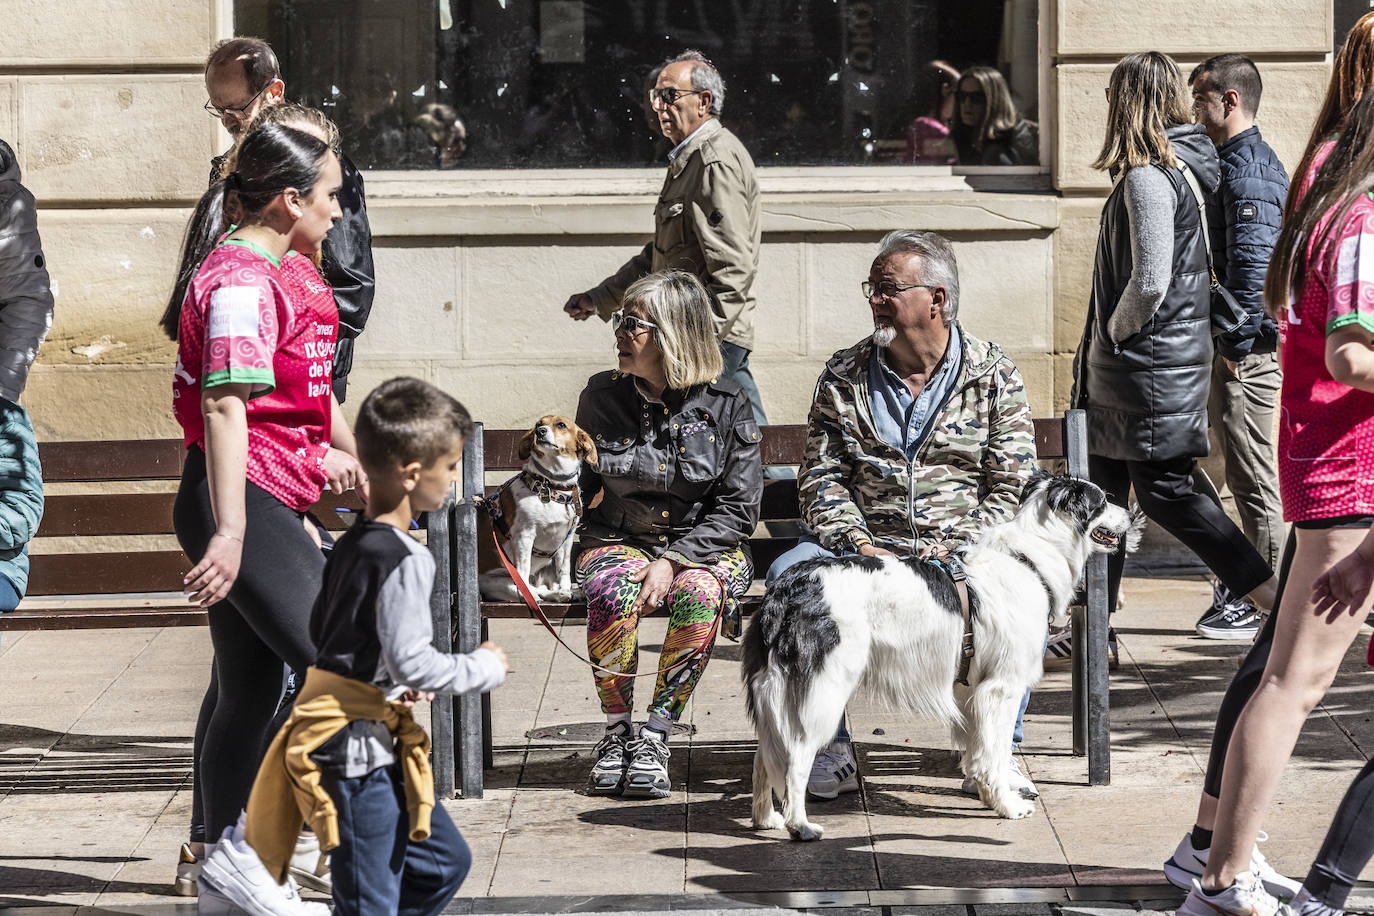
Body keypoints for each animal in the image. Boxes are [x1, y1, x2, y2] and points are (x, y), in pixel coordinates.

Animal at [478, 417, 596, 604]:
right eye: (538, 425)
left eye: (561, 425)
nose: (540, 431)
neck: (553, 486)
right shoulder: (524, 535)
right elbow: (523, 572)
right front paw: (529, 594)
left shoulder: (567, 539)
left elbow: (563, 570)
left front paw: (566, 589)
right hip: (499, 582)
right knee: (529, 588)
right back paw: (533, 597)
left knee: (543, 589)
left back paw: (562, 594)